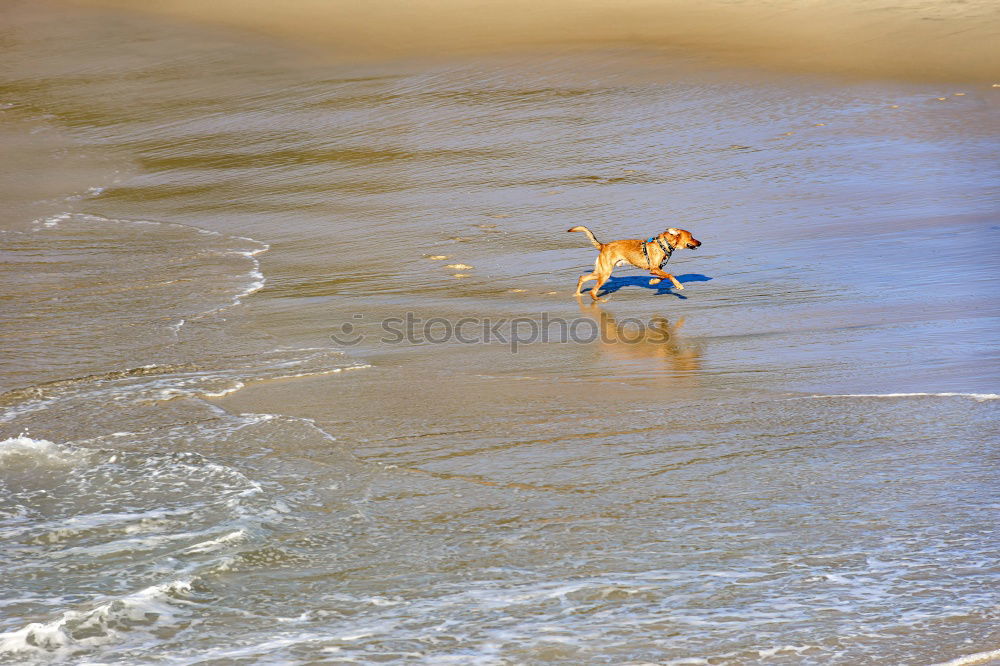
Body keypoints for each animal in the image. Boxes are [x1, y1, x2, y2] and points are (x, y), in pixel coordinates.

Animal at [568, 224, 700, 300]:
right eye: (691, 236)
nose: (700, 243)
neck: (663, 244)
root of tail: (603, 246)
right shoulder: (654, 269)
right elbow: (670, 275)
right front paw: (678, 285)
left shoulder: (657, 270)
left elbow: (663, 277)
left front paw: (653, 282)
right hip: (605, 274)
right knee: (592, 291)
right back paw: (598, 300)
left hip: (600, 272)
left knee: (582, 278)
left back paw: (578, 294)